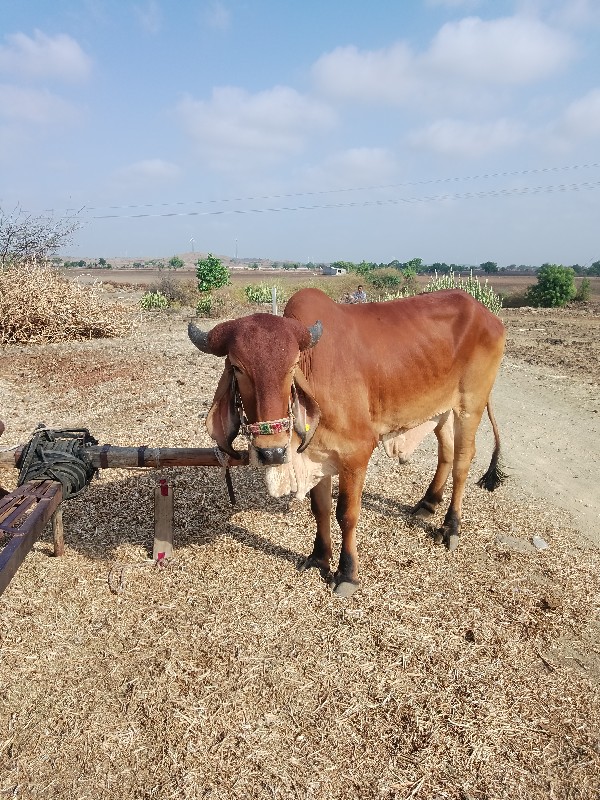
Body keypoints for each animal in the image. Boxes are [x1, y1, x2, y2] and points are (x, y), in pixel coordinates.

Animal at [189, 288, 506, 592]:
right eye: (237, 367)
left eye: (293, 365)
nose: (272, 452)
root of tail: (485, 313)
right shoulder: (318, 454)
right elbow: (320, 509)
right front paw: (319, 558)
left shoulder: (356, 455)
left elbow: (347, 514)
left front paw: (347, 573)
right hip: (441, 410)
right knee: (446, 452)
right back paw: (428, 504)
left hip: (470, 405)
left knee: (463, 461)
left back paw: (451, 528)